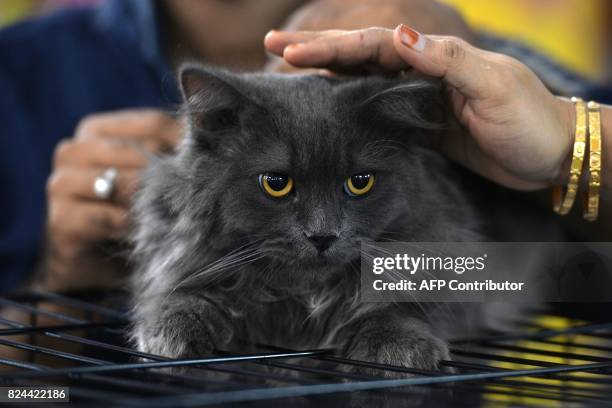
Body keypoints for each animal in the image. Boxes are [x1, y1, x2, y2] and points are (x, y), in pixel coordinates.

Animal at [129, 63, 498, 372]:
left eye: (360, 182)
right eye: (276, 183)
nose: (323, 235)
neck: (302, 301)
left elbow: (398, 306)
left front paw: (399, 347)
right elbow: (180, 294)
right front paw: (173, 331)